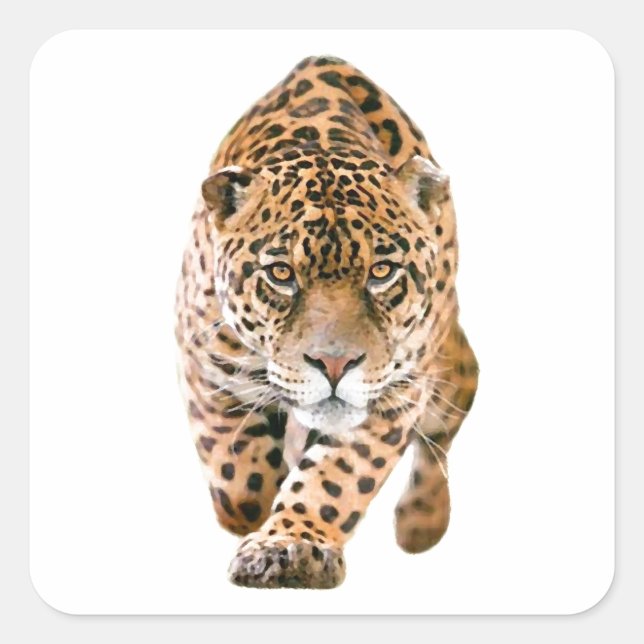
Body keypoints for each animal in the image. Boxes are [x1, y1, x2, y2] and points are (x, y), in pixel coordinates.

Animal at [175, 55, 478, 589]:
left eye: (382, 272)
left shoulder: (395, 393)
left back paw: (421, 521)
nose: (335, 365)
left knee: (451, 413)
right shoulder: (207, 367)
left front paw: (292, 546)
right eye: (281, 273)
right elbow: (240, 485)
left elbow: (337, 477)